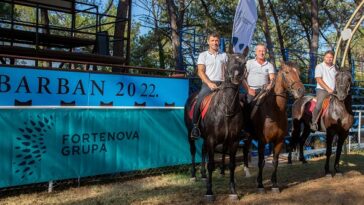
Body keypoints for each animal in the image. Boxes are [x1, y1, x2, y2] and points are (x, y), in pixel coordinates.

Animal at [183, 53, 246, 201]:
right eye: (229, 62)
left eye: (244, 63)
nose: (236, 76)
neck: (227, 109)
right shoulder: (212, 140)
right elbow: (211, 164)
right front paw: (209, 192)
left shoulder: (233, 140)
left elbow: (232, 164)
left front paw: (233, 191)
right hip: (190, 133)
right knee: (193, 150)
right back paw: (194, 175)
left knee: (202, 150)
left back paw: (203, 174)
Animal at [243, 62, 306, 192]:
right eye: (286, 72)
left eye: (298, 72)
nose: (301, 90)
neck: (274, 112)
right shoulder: (262, 142)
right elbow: (261, 162)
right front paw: (260, 184)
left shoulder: (279, 141)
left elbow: (275, 161)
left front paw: (275, 184)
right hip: (247, 136)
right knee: (245, 150)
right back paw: (246, 171)